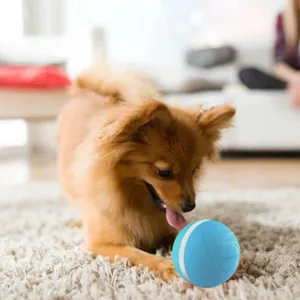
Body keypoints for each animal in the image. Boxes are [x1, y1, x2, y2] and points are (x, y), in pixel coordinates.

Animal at [57, 65, 236, 282]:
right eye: (164, 173)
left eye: (194, 170)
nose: (190, 206)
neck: (137, 203)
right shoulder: (104, 244)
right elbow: (139, 255)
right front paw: (169, 267)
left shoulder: (166, 227)